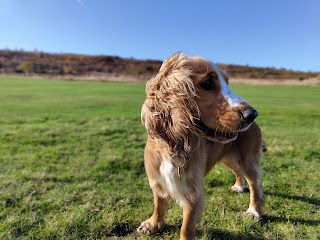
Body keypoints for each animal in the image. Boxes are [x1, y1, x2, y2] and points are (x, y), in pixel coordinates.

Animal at [136, 53, 264, 240]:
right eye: (208, 83)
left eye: (227, 82)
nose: (252, 114)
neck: (174, 147)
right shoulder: (157, 180)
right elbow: (158, 205)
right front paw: (153, 224)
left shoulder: (193, 193)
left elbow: (186, 228)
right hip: (229, 158)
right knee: (238, 172)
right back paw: (239, 186)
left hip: (248, 160)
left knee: (256, 185)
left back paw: (254, 211)